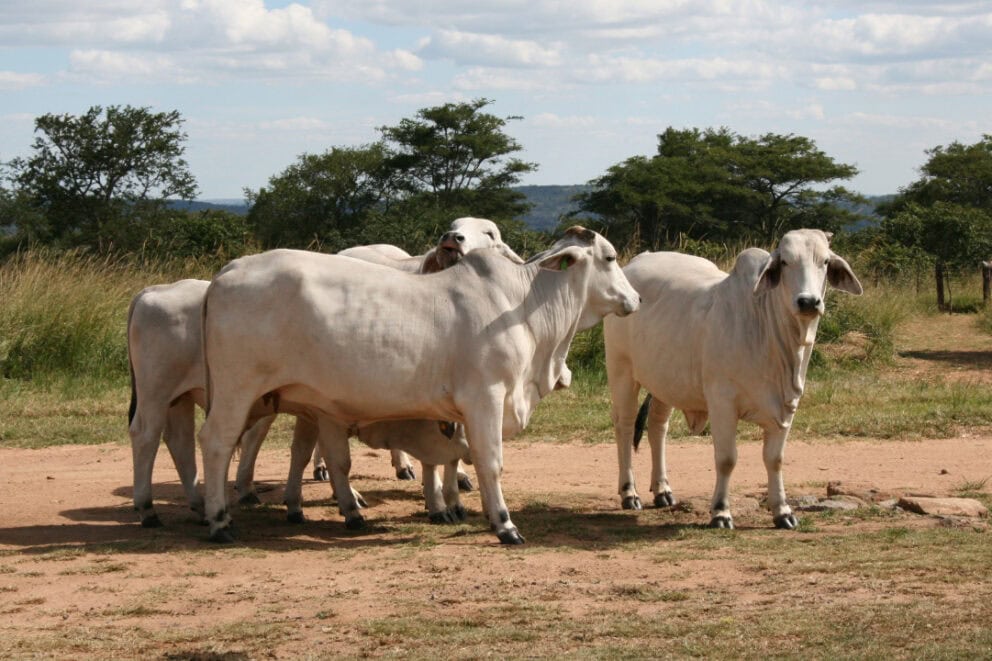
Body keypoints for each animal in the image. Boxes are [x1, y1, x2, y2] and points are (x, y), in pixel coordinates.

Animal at [198, 227, 640, 544]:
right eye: (610, 257)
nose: (635, 298)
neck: (524, 307)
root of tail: (228, 271)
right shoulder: (486, 398)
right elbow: (490, 462)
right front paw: (504, 524)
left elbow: (456, 460)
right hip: (238, 392)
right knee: (217, 443)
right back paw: (219, 521)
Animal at [603, 229, 862, 529]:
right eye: (785, 262)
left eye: (825, 261)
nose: (808, 302)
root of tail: (637, 261)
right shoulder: (722, 402)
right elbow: (727, 459)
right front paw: (721, 512)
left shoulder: (787, 406)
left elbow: (775, 459)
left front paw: (783, 511)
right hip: (622, 371)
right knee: (624, 425)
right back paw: (629, 493)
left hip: (665, 382)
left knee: (658, 426)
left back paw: (662, 490)